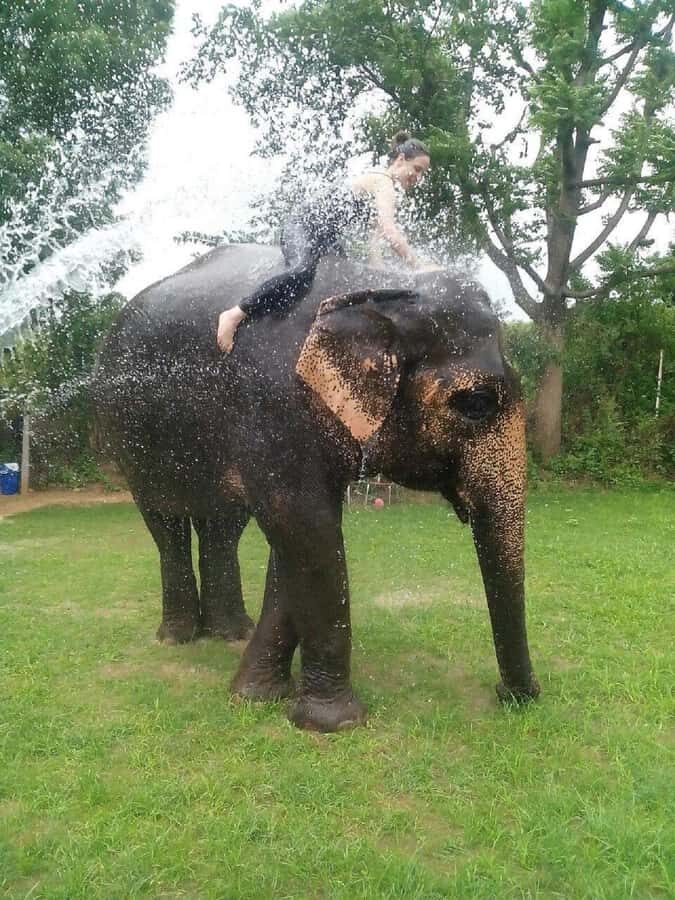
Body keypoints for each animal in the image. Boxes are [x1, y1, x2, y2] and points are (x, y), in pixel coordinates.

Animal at [94, 244, 540, 732]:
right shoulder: (274, 405)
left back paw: (230, 633)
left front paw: (254, 695)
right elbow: (307, 531)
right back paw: (178, 638)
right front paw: (333, 723)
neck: (378, 290)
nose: (511, 695)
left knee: (223, 526)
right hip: (130, 438)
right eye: (476, 403)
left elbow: (296, 546)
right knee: (166, 523)